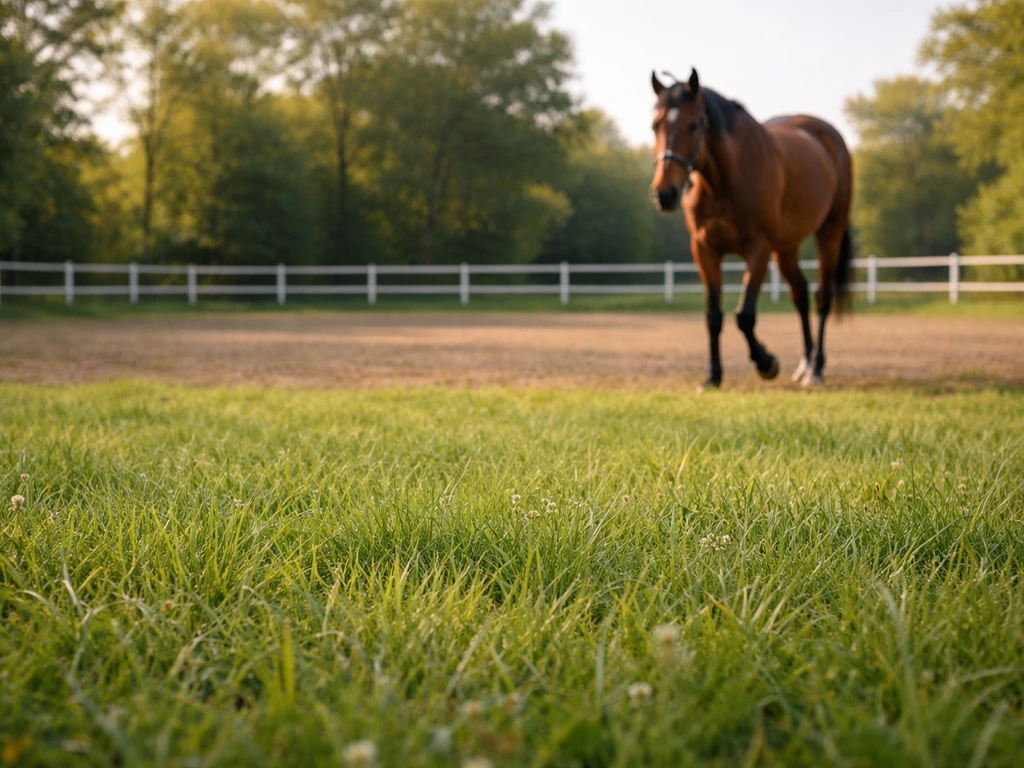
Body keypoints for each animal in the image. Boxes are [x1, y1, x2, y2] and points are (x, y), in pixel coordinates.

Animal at [649, 68, 853, 389]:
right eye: (655, 125)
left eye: (693, 125)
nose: (664, 193)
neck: (724, 181)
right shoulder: (704, 250)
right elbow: (713, 316)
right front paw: (713, 376)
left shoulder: (759, 250)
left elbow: (744, 315)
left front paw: (766, 363)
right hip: (787, 248)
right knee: (800, 293)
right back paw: (804, 364)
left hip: (829, 234)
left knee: (823, 297)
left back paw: (816, 369)